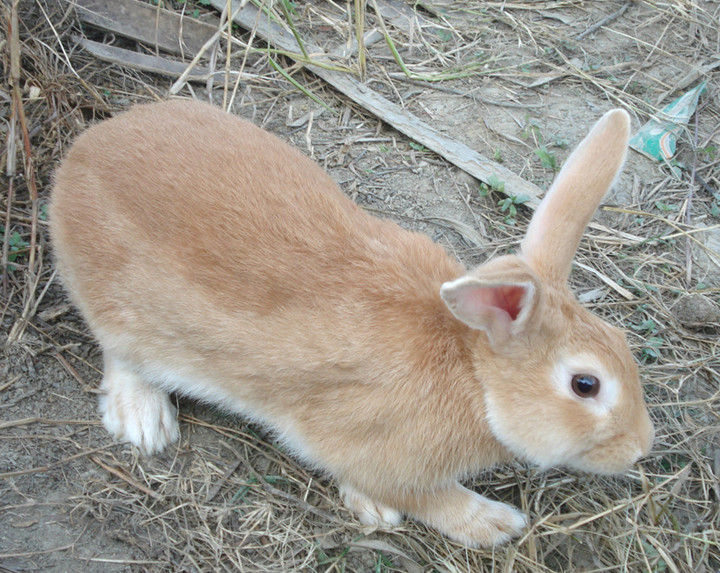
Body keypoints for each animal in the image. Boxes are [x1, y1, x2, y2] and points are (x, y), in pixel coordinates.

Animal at [50, 100, 656, 548]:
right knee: (118, 353)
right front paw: (493, 524)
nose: (640, 450)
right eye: (585, 385)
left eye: (624, 344)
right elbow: (420, 496)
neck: (475, 375)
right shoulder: (369, 449)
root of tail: (80, 154)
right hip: (128, 317)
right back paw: (143, 422)